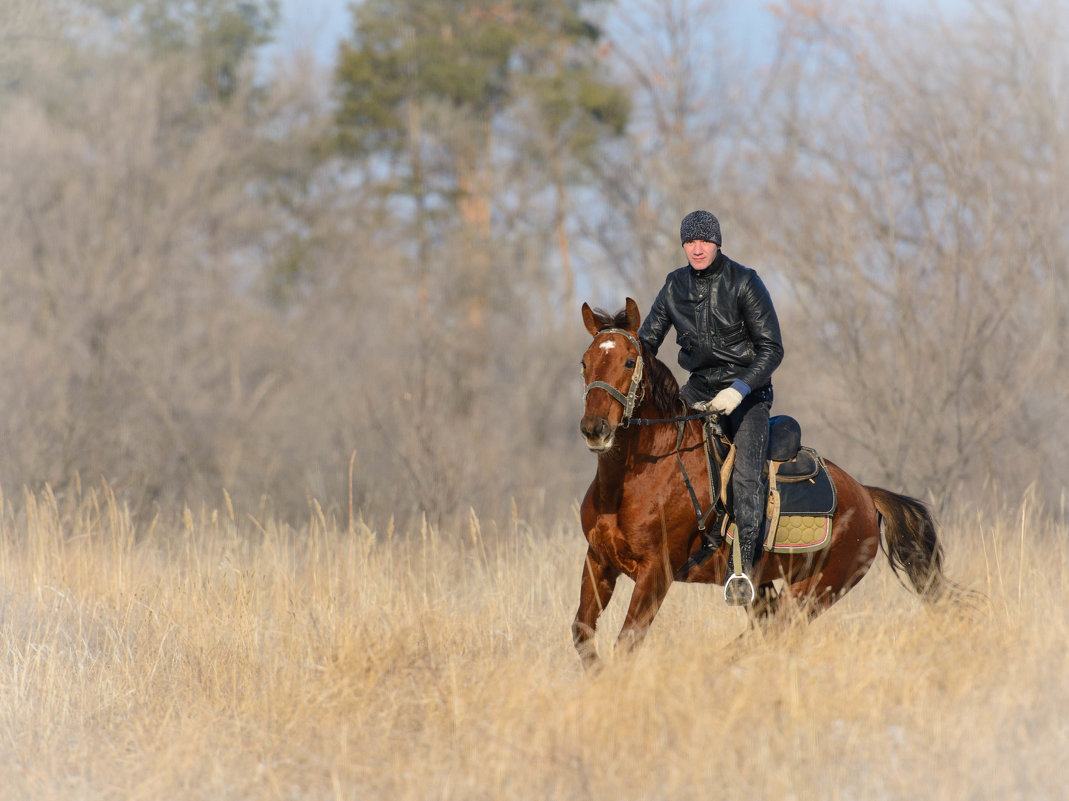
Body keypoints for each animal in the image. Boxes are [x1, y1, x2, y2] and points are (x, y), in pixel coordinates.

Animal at [577, 297, 953, 667]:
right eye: (584, 363)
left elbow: (626, 644)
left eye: (629, 362)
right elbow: (582, 634)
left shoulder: (656, 572)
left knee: (775, 632)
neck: (635, 481)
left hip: (815, 590)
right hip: (762, 586)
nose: (595, 429)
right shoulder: (599, 561)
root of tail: (865, 495)